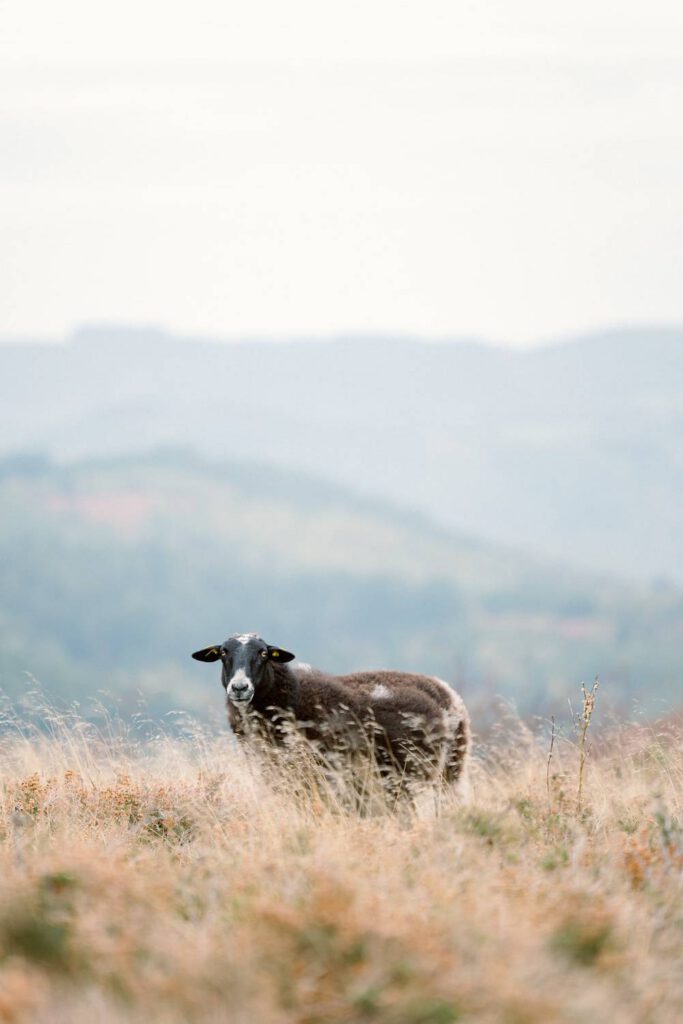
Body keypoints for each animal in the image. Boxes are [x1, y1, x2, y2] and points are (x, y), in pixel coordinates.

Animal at [192, 632, 471, 801]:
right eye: (223, 653)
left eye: (263, 653)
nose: (239, 688)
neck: (293, 696)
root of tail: (446, 693)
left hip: (429, 772)